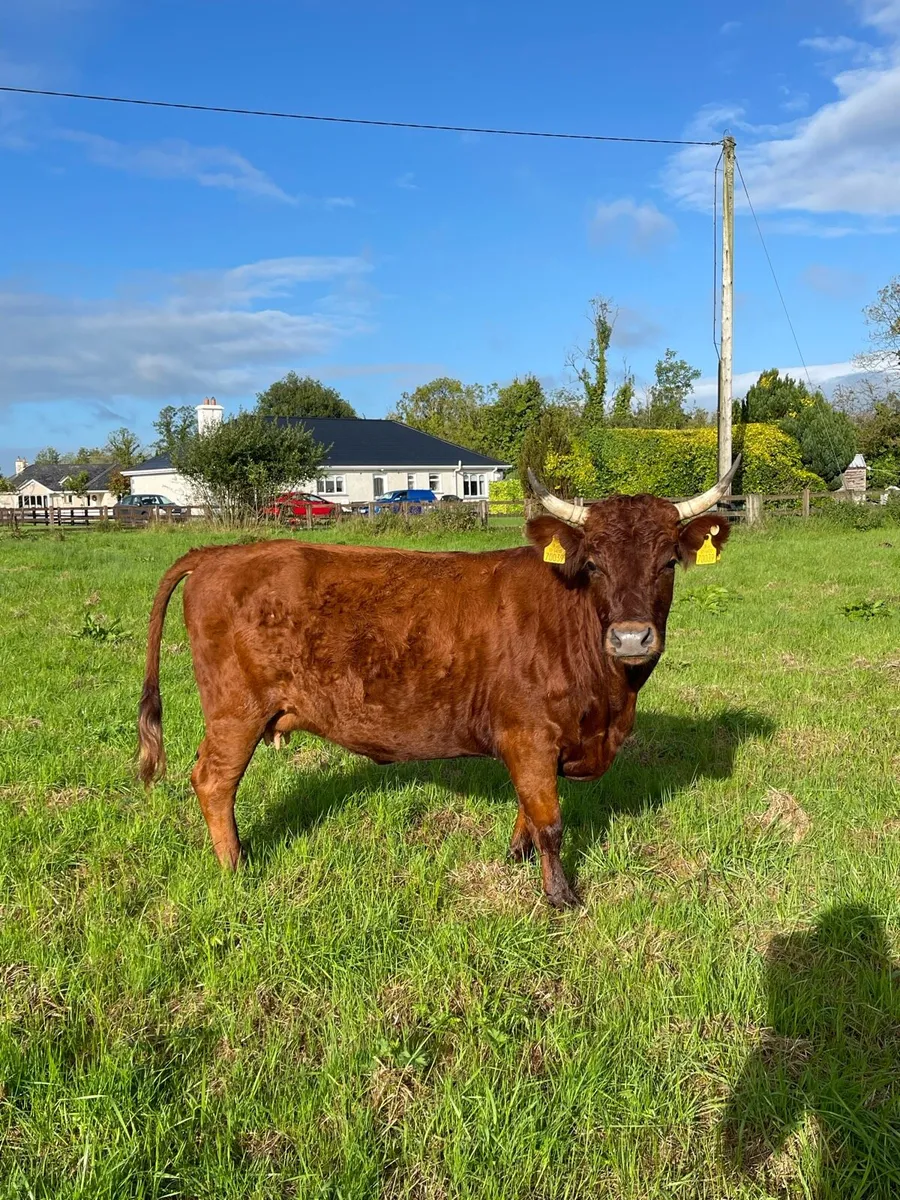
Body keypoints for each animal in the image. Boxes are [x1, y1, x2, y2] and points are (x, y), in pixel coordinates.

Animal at [137, 460, 739, 908]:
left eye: (668, 562)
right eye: (593, 563)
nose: (632, 638)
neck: (611, 700)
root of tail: (222, 553)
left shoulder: (535, 748)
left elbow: (529, 809)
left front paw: (515, 856)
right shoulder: (529, 736)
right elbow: (551, 821)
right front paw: (561, 896)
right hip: (236, 712)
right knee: (212, 782)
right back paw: (235, 867)